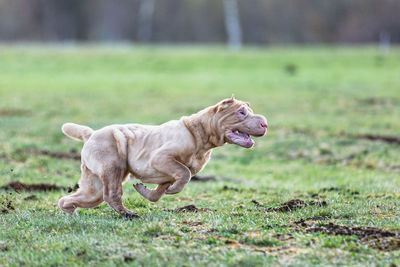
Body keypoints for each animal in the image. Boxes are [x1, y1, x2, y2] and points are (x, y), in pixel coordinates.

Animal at [58, 96, 266, 218]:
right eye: (241, 112)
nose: (265, 123)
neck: (200, 132)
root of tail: (91, 134)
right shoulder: (161, 159)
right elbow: (184, 174)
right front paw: (172, 190)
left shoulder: (167, 172)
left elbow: (160, 191)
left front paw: (146, 191)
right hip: (112, 165)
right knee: (111, 193)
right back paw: (128, 214)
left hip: (94, 185)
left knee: (84, 196)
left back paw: (69, 211)